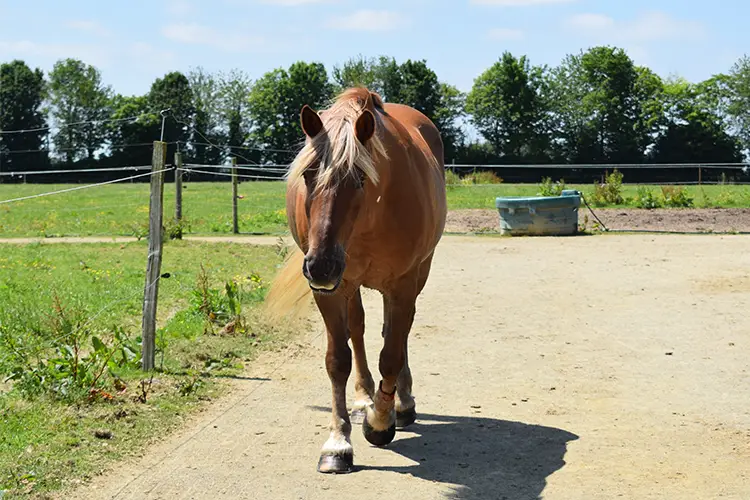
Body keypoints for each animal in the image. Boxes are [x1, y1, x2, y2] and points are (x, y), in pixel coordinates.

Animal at [266, 86, 446, 472]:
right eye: (308, 174)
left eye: (360, 178)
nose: (320, 265)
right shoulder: (330, 291)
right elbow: (338, 360)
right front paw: (338, 442)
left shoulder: (403, 284)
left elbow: (391, 354)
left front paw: (380, 422)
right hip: (347, 285)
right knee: (360, 330)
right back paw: (365, 398)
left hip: (413, 277)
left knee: (397, 335)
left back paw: (400, 403)